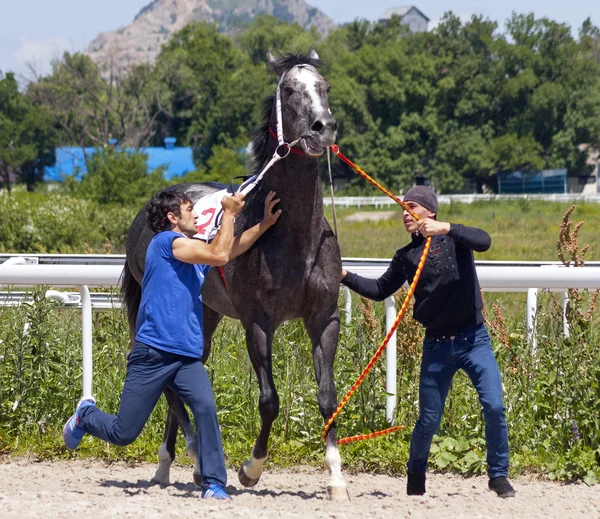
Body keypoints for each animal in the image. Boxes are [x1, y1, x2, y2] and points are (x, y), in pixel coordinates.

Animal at [121, 49, 350, 500]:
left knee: (179, 370)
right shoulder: (257, 323)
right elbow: (269, 400)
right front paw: (250, 469)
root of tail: (148, 211)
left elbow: (327, 395)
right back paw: (194, 463)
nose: (323, 127)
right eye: (289, 89)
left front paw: (336, 478)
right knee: (168, 380)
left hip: (202, 315)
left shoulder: (324, 318)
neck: (294, 237)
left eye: (326, 87)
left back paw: (168, 466)